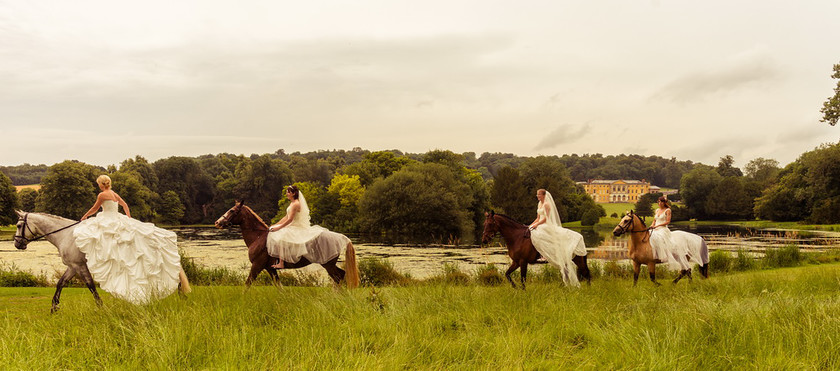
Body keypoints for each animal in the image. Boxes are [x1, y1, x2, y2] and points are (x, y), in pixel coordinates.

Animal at [213, 202, 358, 290]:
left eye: (232, 210)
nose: (217, 222)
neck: (258, 237)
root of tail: (341, 237)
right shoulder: (270, 268)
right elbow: (279, 286)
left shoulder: (257, 266)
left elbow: (248, 283)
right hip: (330, 264)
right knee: (341, 275)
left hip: (327, 264)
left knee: (338, 277)